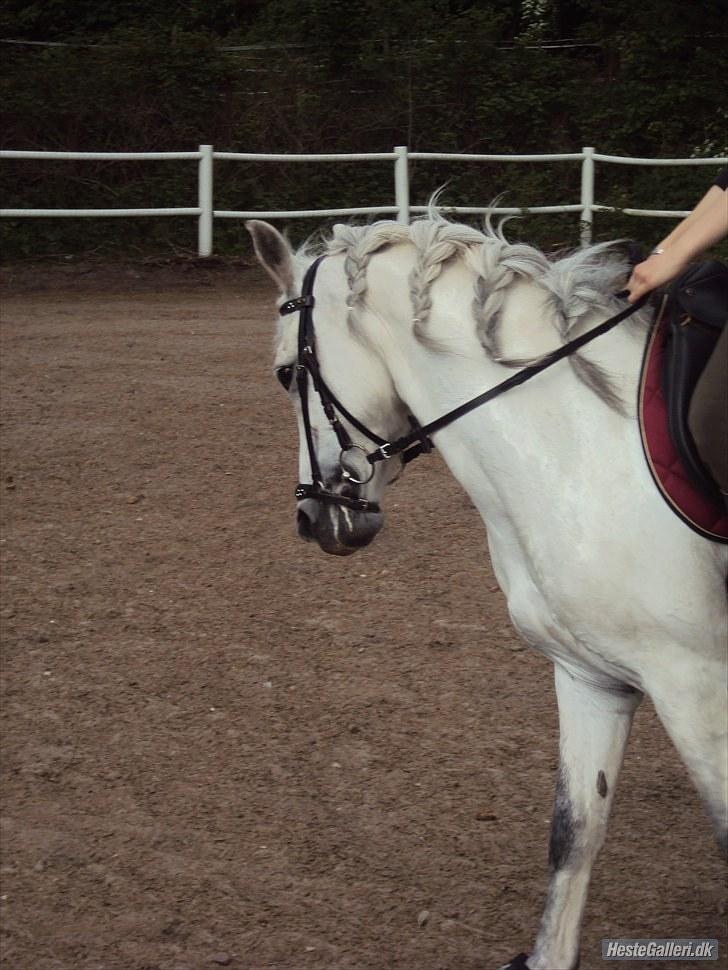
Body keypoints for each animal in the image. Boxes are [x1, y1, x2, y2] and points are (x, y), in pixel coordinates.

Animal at [246, 213, 728, 970]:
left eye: (286, 373)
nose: (313, 519)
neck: (581, 447)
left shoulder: (695, 679)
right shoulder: (593, 675)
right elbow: (573, 831)